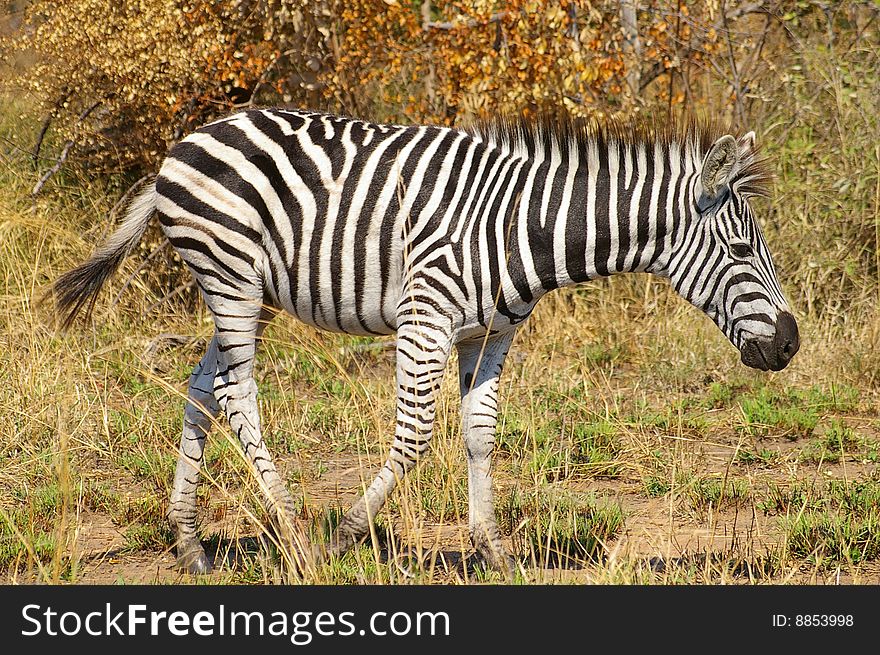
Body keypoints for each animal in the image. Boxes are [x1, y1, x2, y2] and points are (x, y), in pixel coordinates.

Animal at [53, 107, 796, 580]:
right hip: (229, 273)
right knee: (238, 393)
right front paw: (344, 537)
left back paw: (190, 545)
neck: (520, 227)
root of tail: (186, 142)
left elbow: (481, 433)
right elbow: (413, 437)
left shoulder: (490, 334)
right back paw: (294, 531)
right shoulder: (425, 316)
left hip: (247, 291)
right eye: (740, 249)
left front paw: (493, 550)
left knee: (204, 386)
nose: (789, 345)